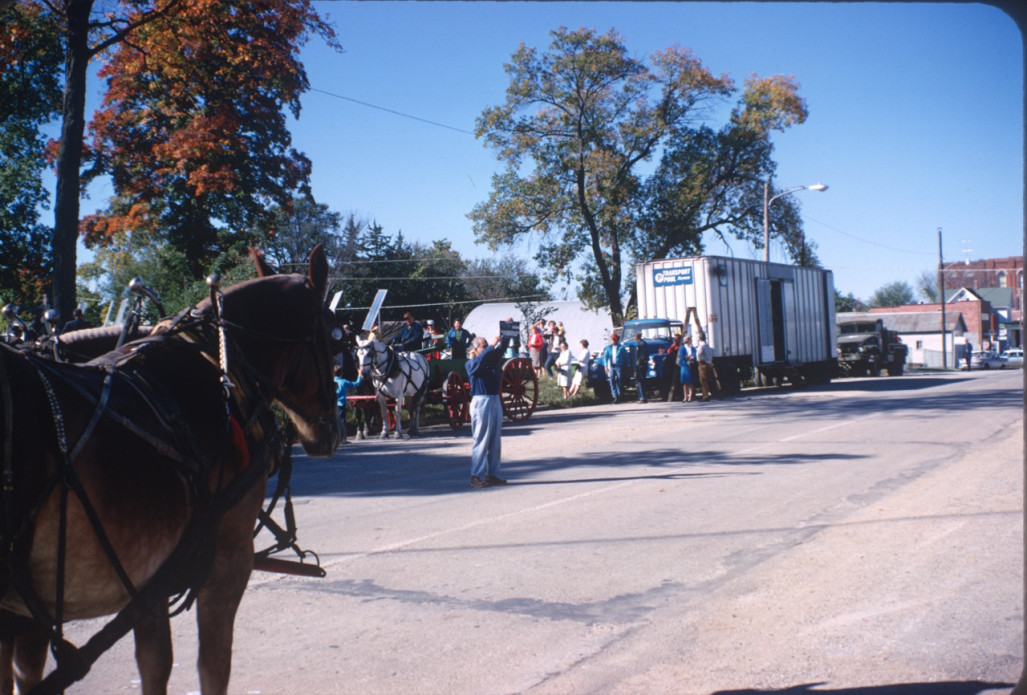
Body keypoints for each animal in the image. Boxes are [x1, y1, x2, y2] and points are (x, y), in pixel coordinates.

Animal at [0, 246, 343, 689]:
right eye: (334, 338)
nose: (330, 430)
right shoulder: (227, 561)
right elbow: (212, 667)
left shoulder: (150, 580)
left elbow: (155, 664)